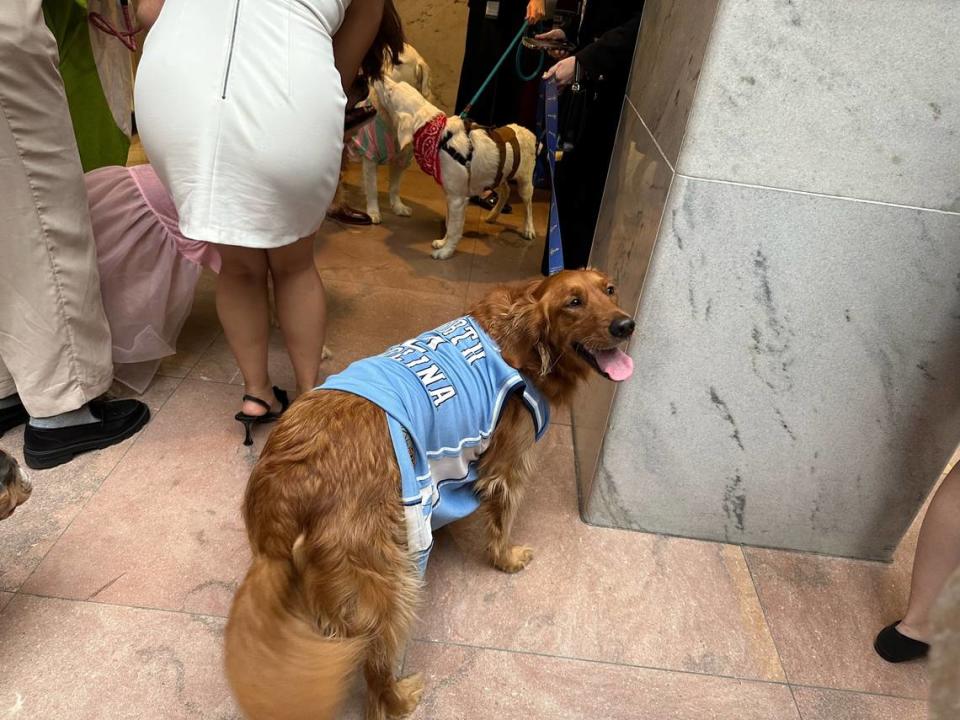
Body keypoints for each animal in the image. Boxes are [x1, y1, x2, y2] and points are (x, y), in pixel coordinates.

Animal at [225, 268, 636, 716]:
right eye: (573, 303)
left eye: (610, 290)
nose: (626, 325)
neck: (518, 335)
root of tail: (284, 486)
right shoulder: (509, 465)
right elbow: (502, 521)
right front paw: (507, 559)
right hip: (393, 582)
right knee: (375, 663)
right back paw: (399, 698)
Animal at [352, 43, 436, 224]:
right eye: (381, 58)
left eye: (398, 62)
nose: (375, 74)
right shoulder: (370, 155)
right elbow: (372, 188)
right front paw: (373, 211)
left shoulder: (402, 159)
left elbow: (395, 187)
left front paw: (397, 206)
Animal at [376, 77, 540, 262]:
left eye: (390, 92)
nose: (379, 76)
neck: (439, 138)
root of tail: (528, 132)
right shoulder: (451, 195)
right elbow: (450, 224)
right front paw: (443, 242)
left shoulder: (457, 199)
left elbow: (454, 229)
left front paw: (446, 251)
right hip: (494, 176)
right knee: (505, 191)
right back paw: (493, 215)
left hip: (524, 183)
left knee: (528, 206)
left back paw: (528, 229)